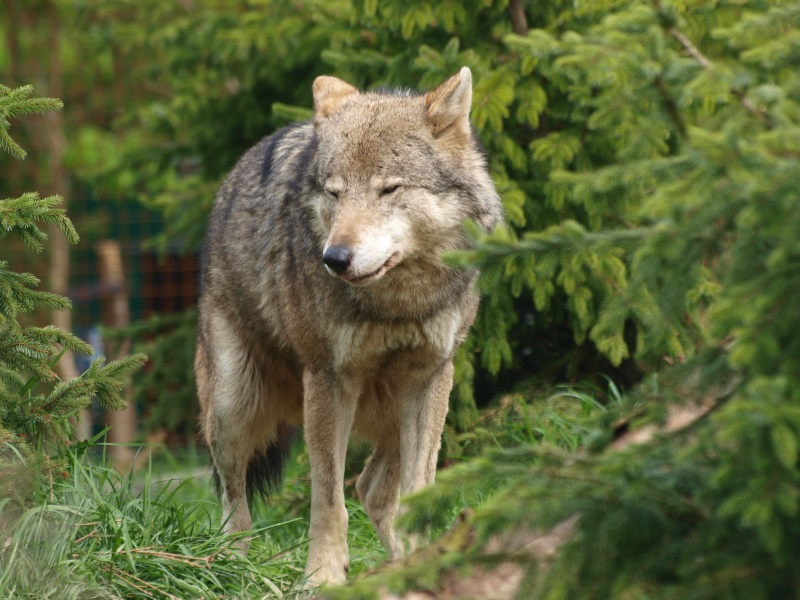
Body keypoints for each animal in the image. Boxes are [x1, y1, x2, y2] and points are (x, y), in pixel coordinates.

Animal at [195, 67, 503, 586]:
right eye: (335, 193)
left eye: (388, 189)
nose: (334, 258)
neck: (398, 303)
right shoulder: (328, 379)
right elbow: (328, 501)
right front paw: (322, 578)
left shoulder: (430, 376)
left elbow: (417, 490)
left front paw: (422, 560)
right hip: (233, 405)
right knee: (232, 500)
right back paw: (232, 565)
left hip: (409, 406)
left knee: (373, 488)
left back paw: (400, 558)